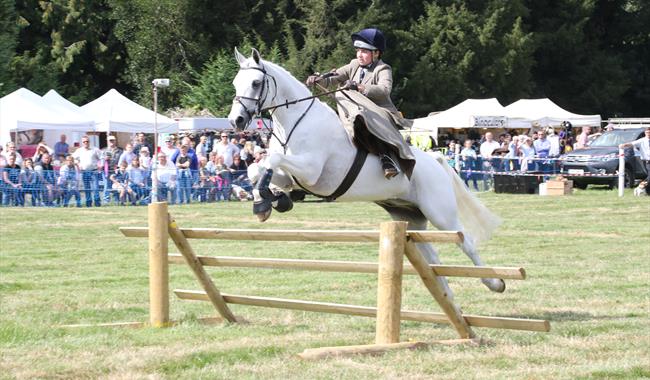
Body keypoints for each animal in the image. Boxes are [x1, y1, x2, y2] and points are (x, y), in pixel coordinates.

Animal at [228, 49, 506, 292]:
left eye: (255, 83)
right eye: (235, 83)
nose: (236, 121)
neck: (296, 121)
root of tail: (437, 160)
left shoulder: (311, 172)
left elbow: (272, 160)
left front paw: (269, 200)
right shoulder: (293, 177)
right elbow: (256, 168)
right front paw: (267, 202)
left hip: (440, 214)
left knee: (466, 242)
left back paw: (494, 283)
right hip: (410, 217)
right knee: (433, 257)